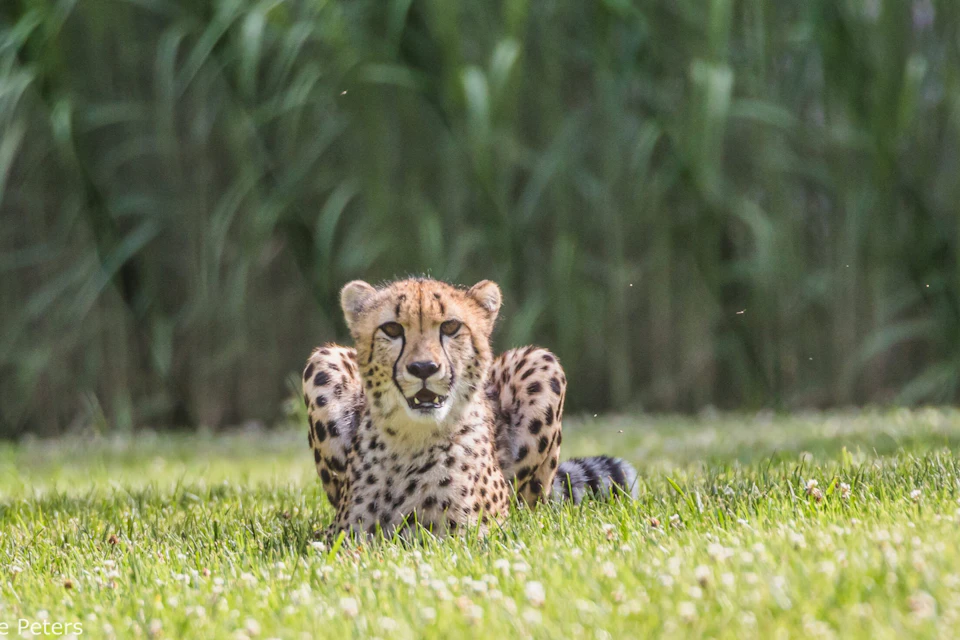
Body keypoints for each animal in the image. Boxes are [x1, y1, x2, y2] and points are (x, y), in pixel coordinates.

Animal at [302, 277, 637, 539]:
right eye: (392, 329)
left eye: (450, 326)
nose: (423, 368)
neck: (413, 438)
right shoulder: (344, 535)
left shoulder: (472, 535)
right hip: (323, 360)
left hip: (541, 363)